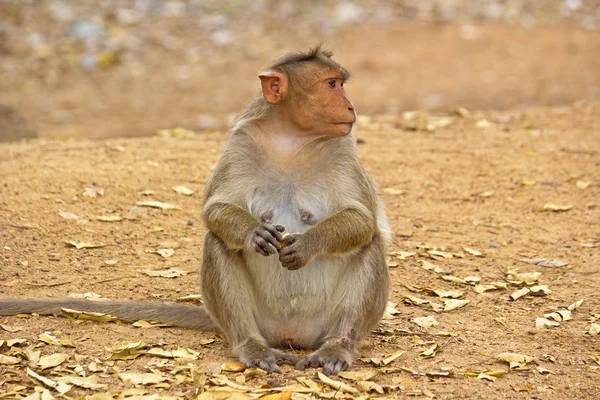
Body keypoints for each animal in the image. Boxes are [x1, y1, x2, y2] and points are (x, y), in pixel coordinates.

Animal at [0, 47, 390, 376]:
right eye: (331, 84)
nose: (351, 107)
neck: (291, 138)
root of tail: (292, 335)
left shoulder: (343, 147)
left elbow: (363, 219)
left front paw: (308, 244)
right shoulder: (241, 141)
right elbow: (216, 210)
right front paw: (253, 232)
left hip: (325, 323)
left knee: (369, 245)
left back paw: (336, 347)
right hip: (259, 321)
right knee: (216, 242)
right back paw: (251, 346)